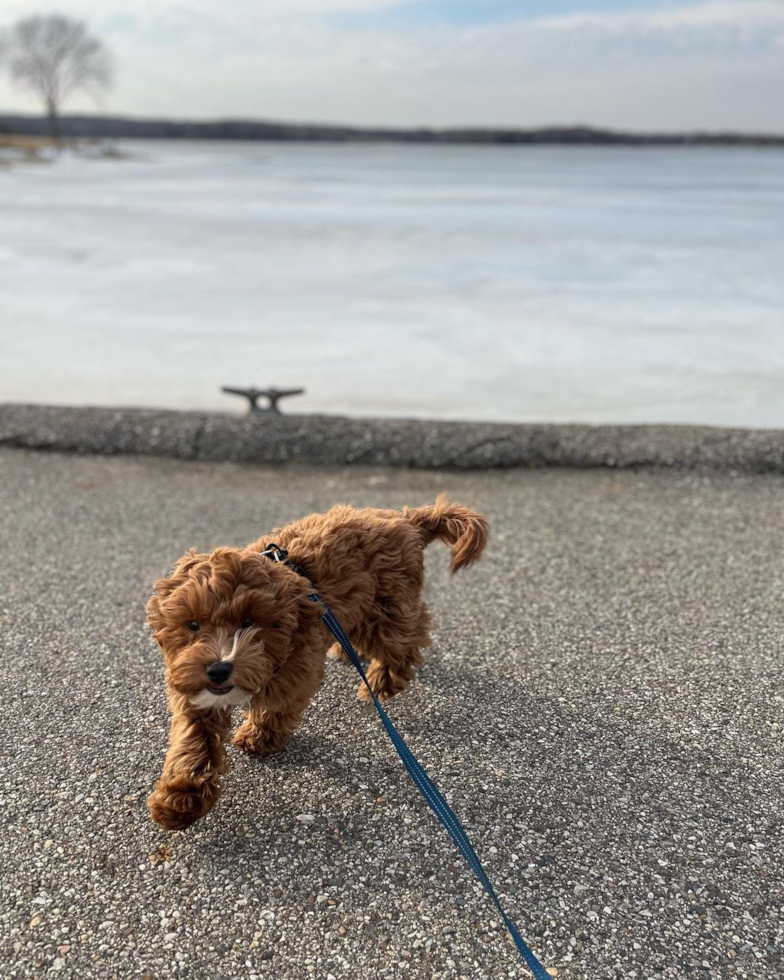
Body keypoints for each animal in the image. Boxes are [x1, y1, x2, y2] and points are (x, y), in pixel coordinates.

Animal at [145, 494, 486, 832]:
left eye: (248, 622)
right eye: (192, 625)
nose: (218, 669)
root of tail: (404, 519)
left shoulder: (296, 668)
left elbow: (277, 704)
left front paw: (259, 736)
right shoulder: (192, 686)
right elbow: (194, 738)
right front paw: (179, 799)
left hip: (386, 605)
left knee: (408, 637)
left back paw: (381, 682)